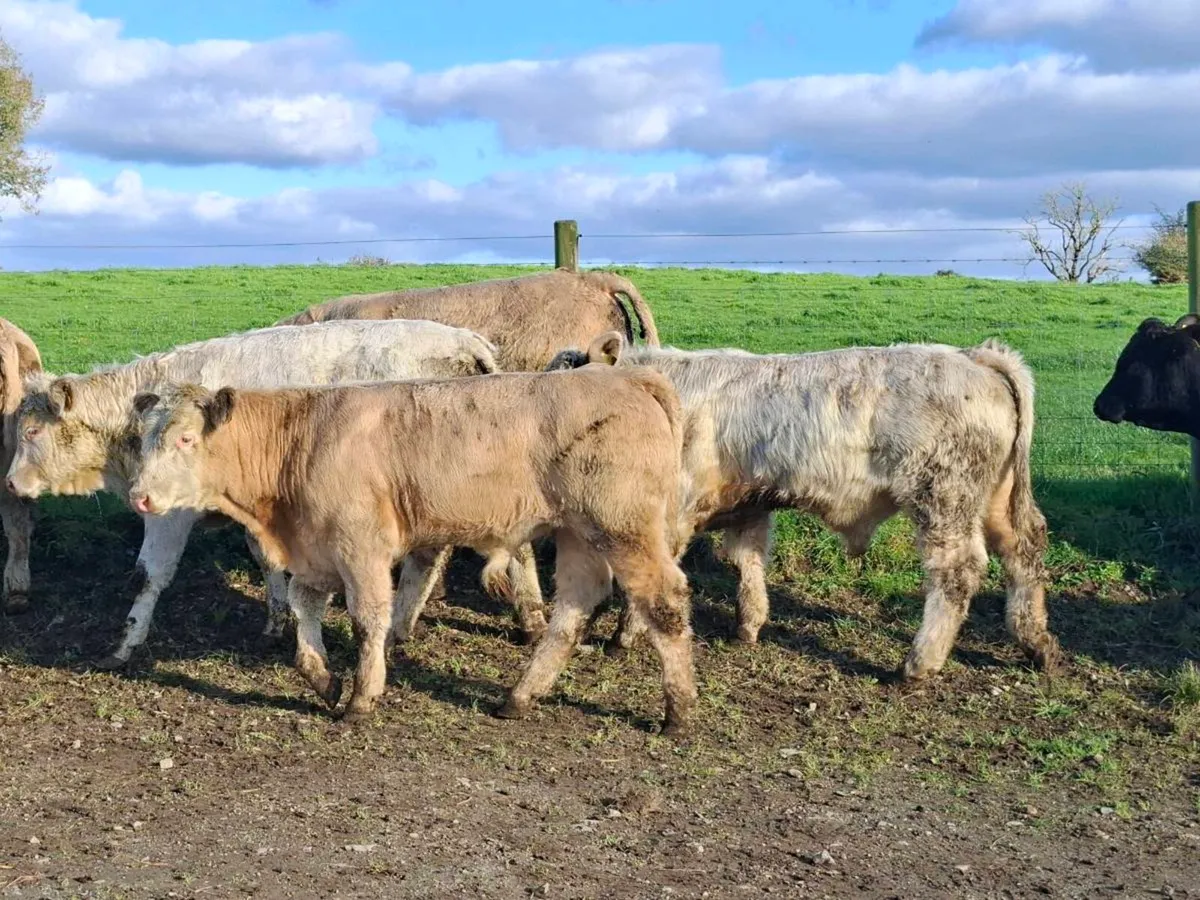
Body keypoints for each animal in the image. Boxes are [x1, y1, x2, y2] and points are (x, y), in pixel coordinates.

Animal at [5, 320, 545, 668]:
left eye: (30, 431)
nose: (9, 483)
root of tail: (469, 343)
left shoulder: (168, 511)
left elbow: (147, 575)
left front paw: (125, 643)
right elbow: (266, 558)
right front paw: (277, 619)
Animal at [126, 366, 696, 734]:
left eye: (185, 440)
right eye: (142, 440)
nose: (139, 496)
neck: (302, 441)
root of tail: (630, 377)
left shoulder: (361, 547)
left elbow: (368, 619)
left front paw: (362, 697)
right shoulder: (318, 549)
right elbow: (304, 609)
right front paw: (324, 680)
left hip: (623, 526)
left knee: (664, 600)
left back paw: (678, 711)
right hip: (579, 531)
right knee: (575, 607)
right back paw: (519, 697)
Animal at [546, 331, 1061, 682]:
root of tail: (975, 356)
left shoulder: (671, 511)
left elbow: (652, 575)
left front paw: (625, 636)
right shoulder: (749, 504)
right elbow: (748, 562)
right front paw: (749, 625)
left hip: (944, 498)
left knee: (957, 571)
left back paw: (918, 664)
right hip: (996, 499)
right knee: (1024, 551)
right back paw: (1036, 643)